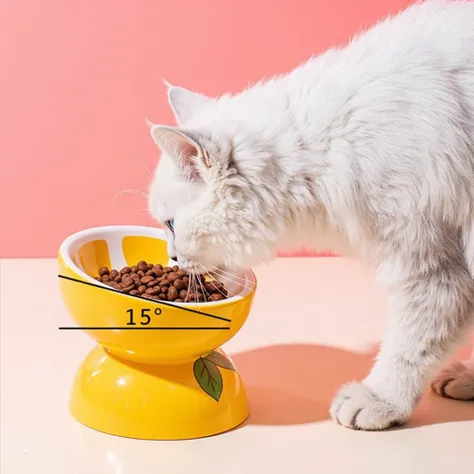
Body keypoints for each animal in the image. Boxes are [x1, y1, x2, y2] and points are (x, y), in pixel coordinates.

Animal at [150, 0, 474, 430]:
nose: (171, 257)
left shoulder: (431, 261)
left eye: (171, 225)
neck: (332, 145)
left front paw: (381, 400)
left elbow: (410, 344)